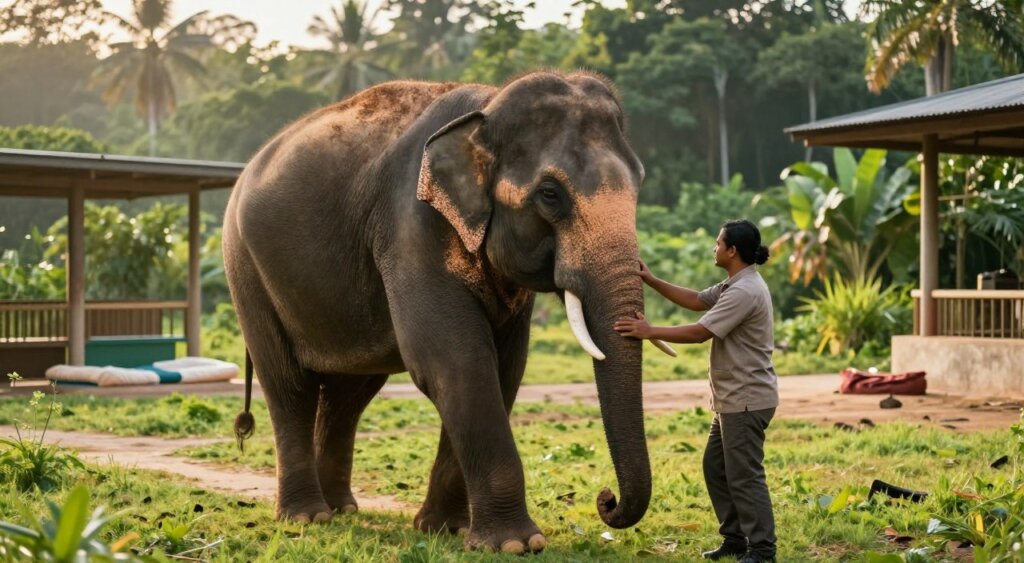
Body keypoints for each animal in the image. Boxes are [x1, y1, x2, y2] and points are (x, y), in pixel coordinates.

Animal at [222, 71, 673, 553]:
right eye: (550, 194)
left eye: (639, 184)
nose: (606, 499)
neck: (488, 106)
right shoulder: (411, 227)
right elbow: (454, 362)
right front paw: (516, 545)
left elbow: (505, 368)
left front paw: (446, 530)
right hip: (246, 270)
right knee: (290, 387)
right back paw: (307, 517)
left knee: (349, 393)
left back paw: (341, 509)